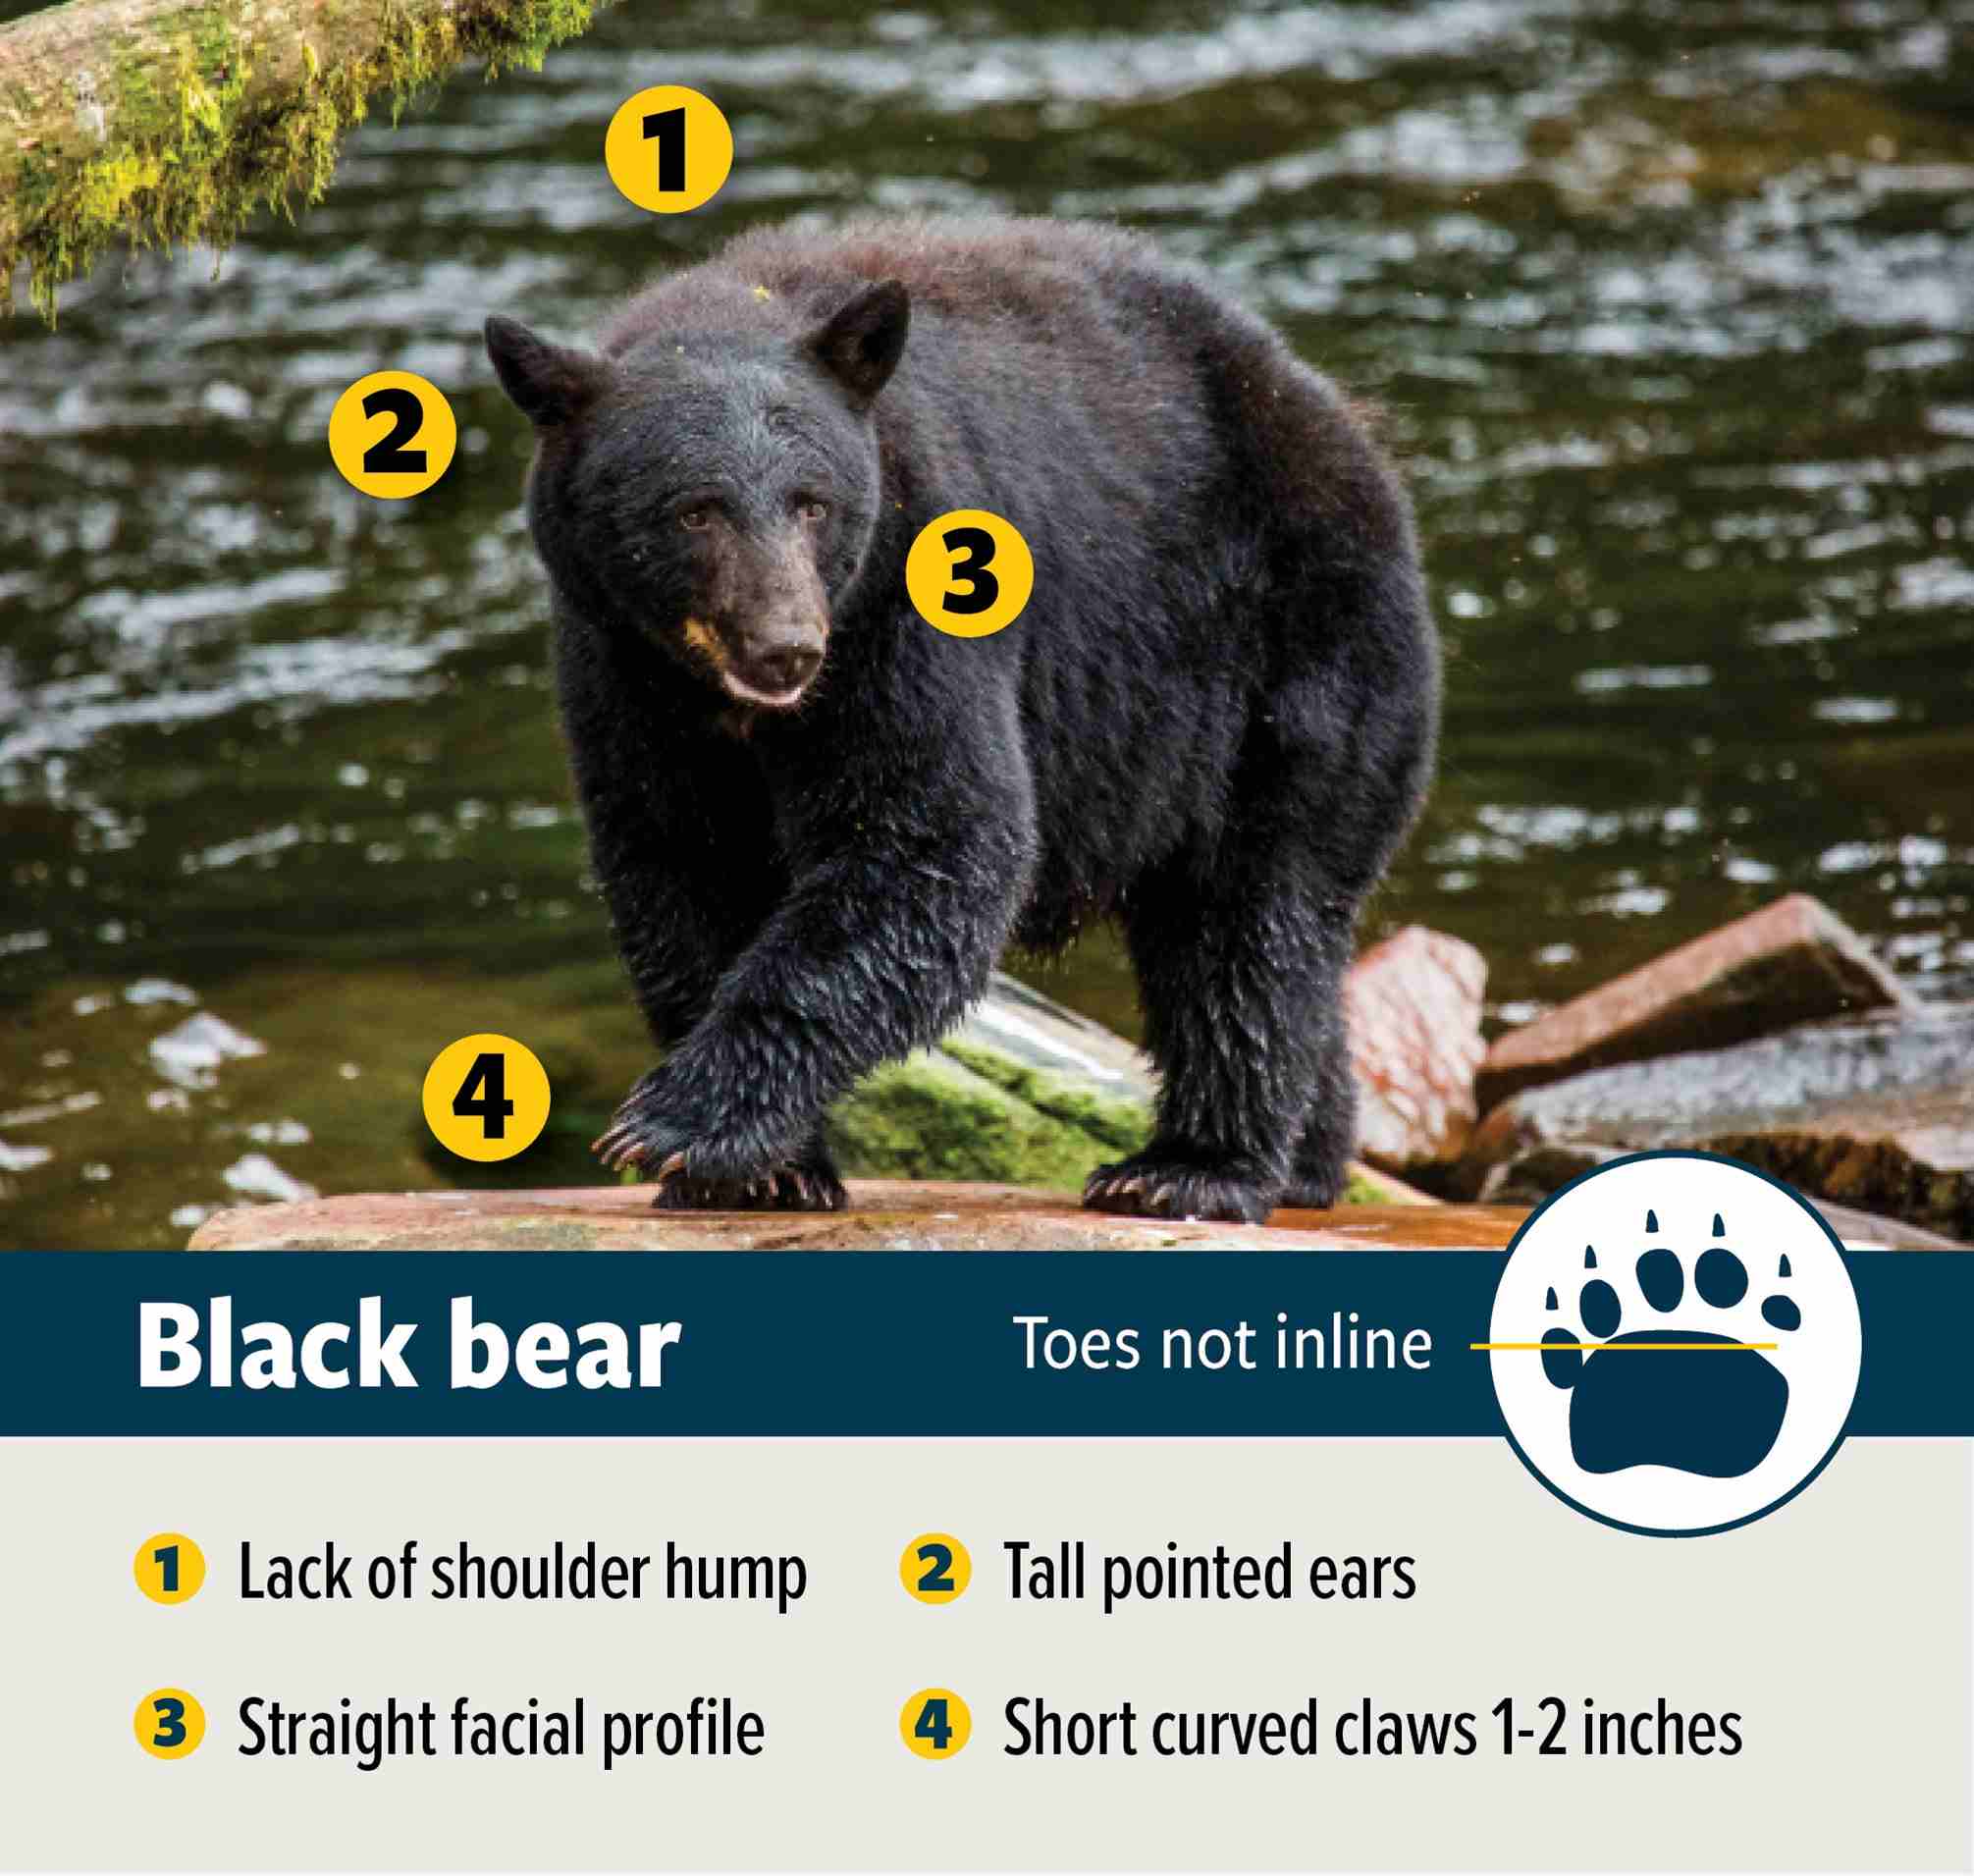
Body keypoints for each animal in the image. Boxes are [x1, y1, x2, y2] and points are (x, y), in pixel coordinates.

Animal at [485, 214, 1438, 1224]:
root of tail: (1345, 423)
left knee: (1250, 912)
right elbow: (678, 861)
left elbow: (932, 834)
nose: (786, 649)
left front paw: (683, 1122)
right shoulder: (618, 664)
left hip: (1293, 653)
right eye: (694, 511)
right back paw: (1309, 1158)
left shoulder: (910, 595)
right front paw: (767, 1167)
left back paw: (1191, 1165)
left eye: (811, 502)